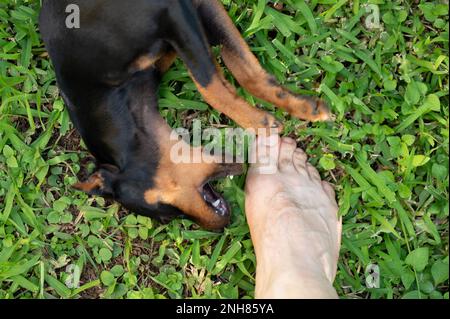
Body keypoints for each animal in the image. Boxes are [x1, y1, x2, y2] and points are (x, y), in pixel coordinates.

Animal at [40, 0, 330, 230]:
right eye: (168, 218)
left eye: (166, 211)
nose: (221, 226)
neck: (102, 94)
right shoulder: (194, 10)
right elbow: (240, 65)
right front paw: (299, 106)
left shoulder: (173, 13)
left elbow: (208, 83)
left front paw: (258, 122)